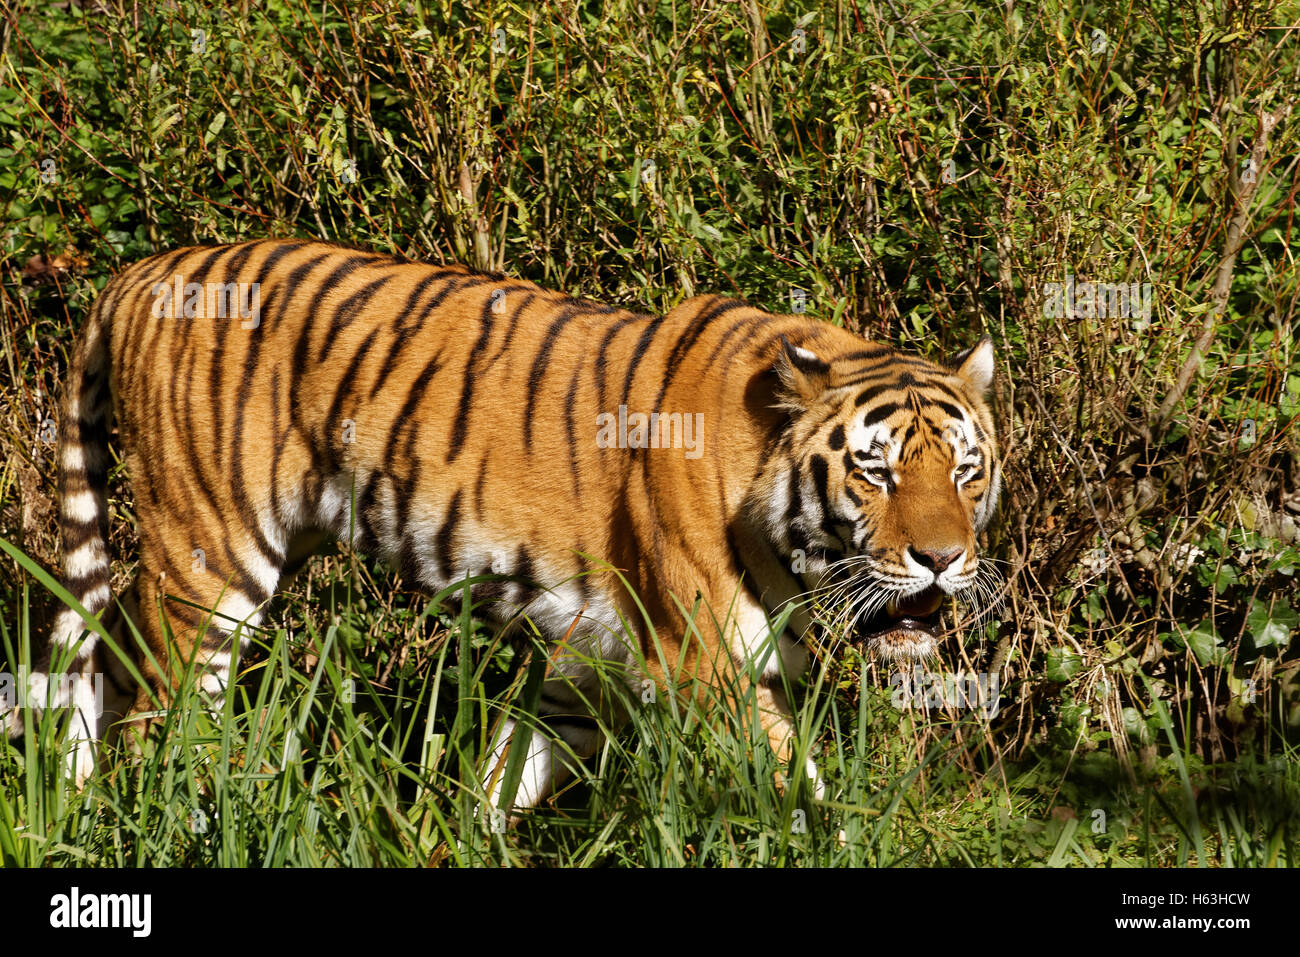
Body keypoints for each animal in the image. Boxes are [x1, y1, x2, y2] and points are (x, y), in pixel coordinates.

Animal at [2, 239, 993, 806]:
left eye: (964, 470)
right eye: (876, 470)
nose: (943, 559)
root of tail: (140, 273)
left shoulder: (592, 663)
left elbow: (506, 773)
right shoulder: (701, 662)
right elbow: (801, 792)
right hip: (211, 556)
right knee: (160, 708)